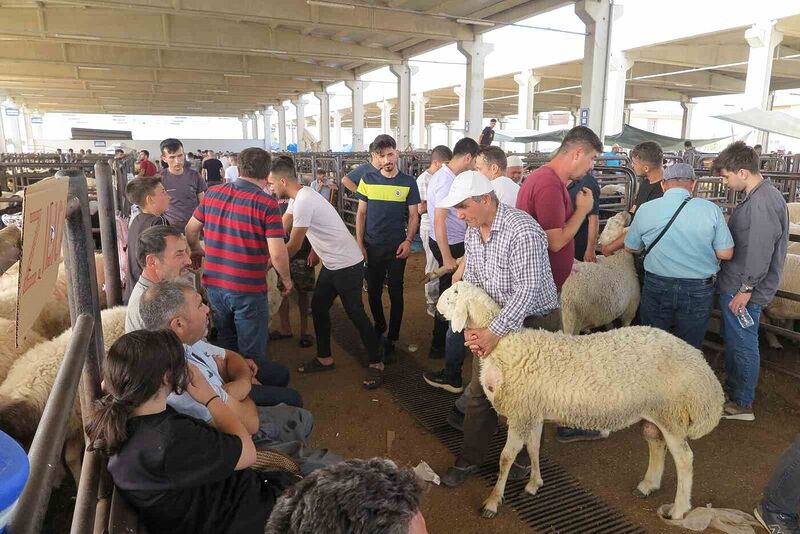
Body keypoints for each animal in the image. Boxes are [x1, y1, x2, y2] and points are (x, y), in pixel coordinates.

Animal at [438, 284, 724, 524]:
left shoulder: (521, 414)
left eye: (453, 294)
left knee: (684, 459)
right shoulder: (533, 411)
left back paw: (678, 509)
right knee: (656, 443)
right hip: (655, 412)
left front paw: (493, 501)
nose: (439, 306)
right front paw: (534, 483)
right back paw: (648, 485)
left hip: (672, 414)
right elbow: (533, 448)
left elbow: (506, 458)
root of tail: (702, 367)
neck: (505, 346)